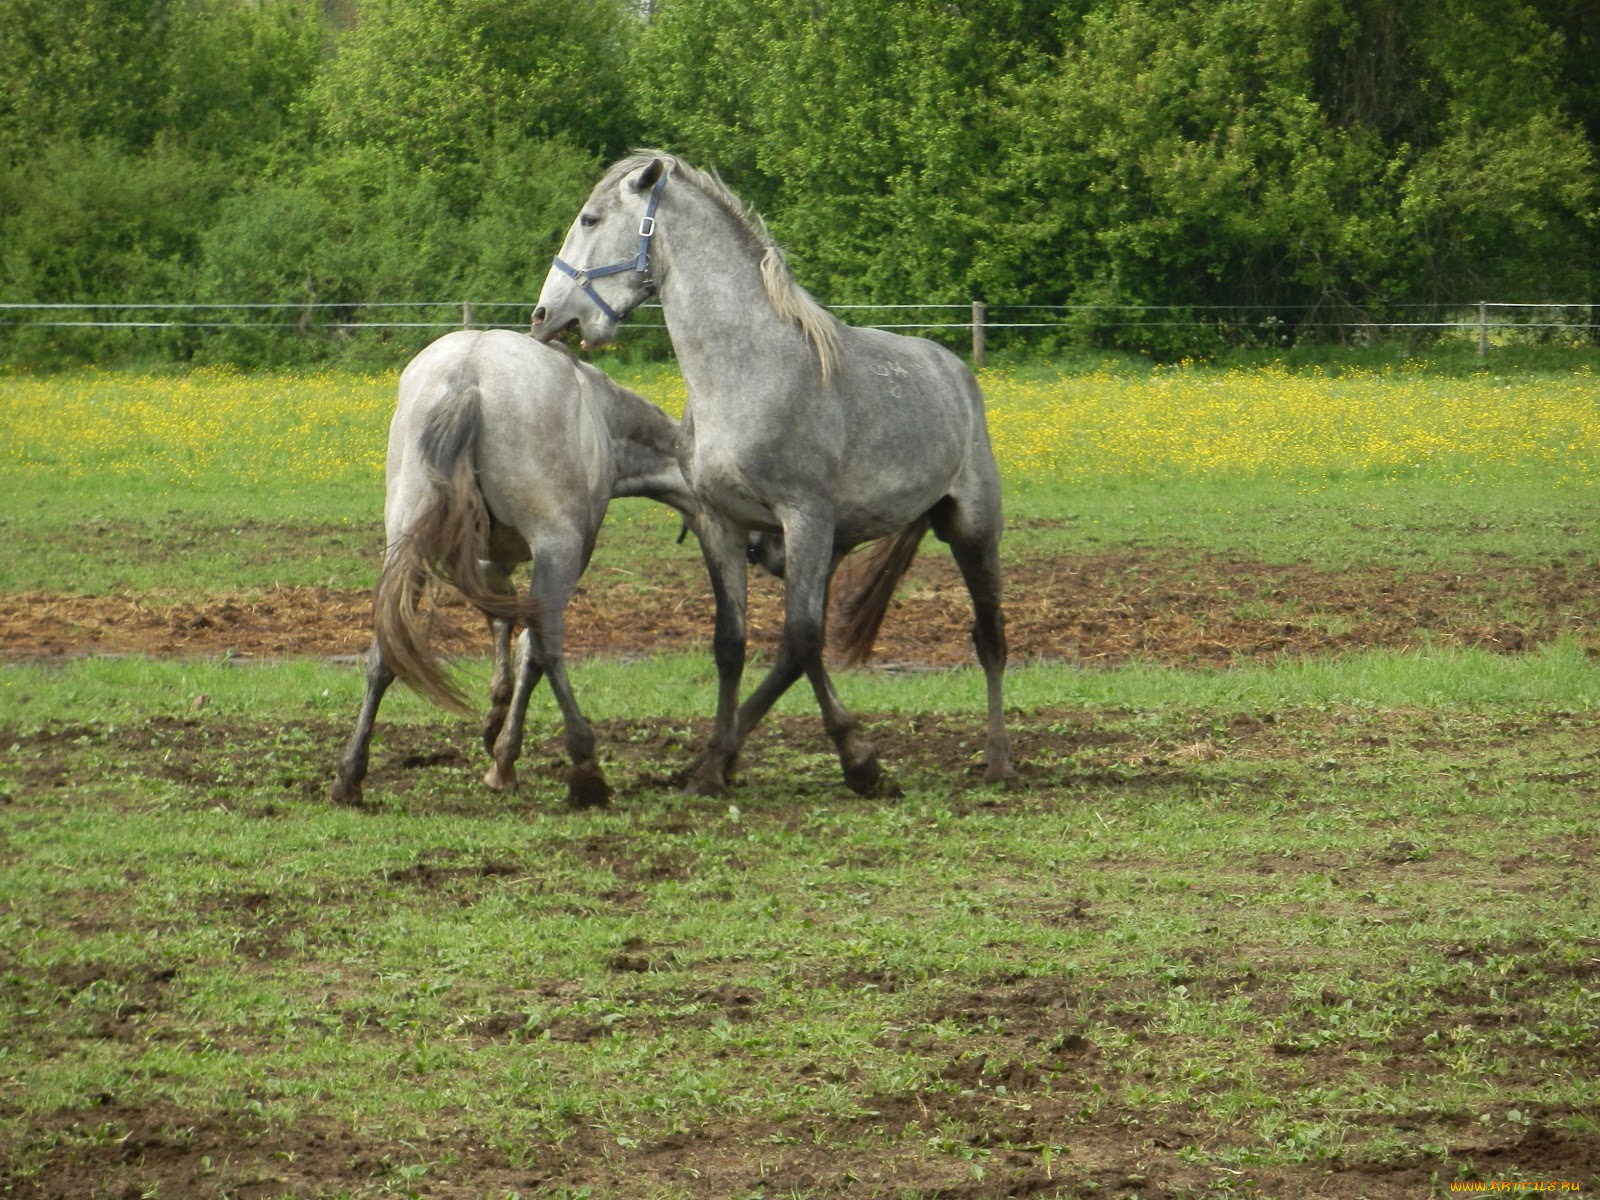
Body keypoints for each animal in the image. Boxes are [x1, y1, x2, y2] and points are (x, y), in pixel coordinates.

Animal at [328, 328, 695, 808]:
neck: (605, 414)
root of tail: (468, 374)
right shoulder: (566, 555)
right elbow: (531, 650)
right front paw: (504, 756)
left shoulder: (490, 561)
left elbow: (502, 624)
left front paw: (495, 719)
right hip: (556, 548)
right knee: (549, 647)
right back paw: (585, 769)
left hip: (405, 543)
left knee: (384, 651)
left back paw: (350, 775)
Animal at [531, 151, 1015, 795]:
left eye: (590, 219)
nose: (543, 316)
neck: (747, 373)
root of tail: (955, 371)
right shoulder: (724, 525)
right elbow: (735, 644)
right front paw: (717, 761)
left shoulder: (803, 518)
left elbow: (795, 644)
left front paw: (843, 762)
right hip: (835, 548)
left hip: (972, 530)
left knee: (989, 639)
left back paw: (999, 760)